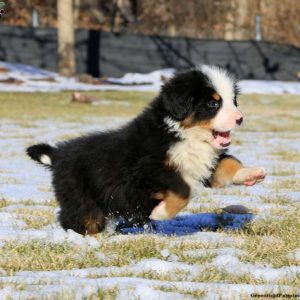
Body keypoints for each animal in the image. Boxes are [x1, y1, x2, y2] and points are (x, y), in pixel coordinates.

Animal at [25, 65, 264, 234]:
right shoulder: (149, 169)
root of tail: (58, 154)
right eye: (213, 104)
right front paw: (160, 213)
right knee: (78, 218)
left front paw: (251, 174)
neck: (183, 135)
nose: (240, 118)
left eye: (233, 101)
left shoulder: (204, 165)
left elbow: (228, 164)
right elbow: (182, 189)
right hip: (81, 198)